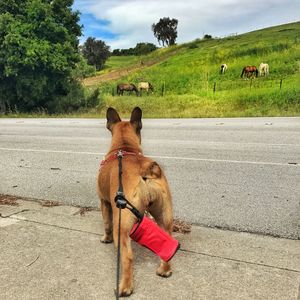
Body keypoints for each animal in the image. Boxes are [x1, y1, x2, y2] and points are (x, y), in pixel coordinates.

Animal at [97, 106, 175, 296]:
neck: (124, 147)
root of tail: (144, 169)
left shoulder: (104, 202)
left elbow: (106, 224)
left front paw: (105, 238)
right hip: (165, 214)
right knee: (167, 240)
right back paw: (165, 270)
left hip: (122, 224)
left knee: (127, 257)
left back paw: (124, 287)